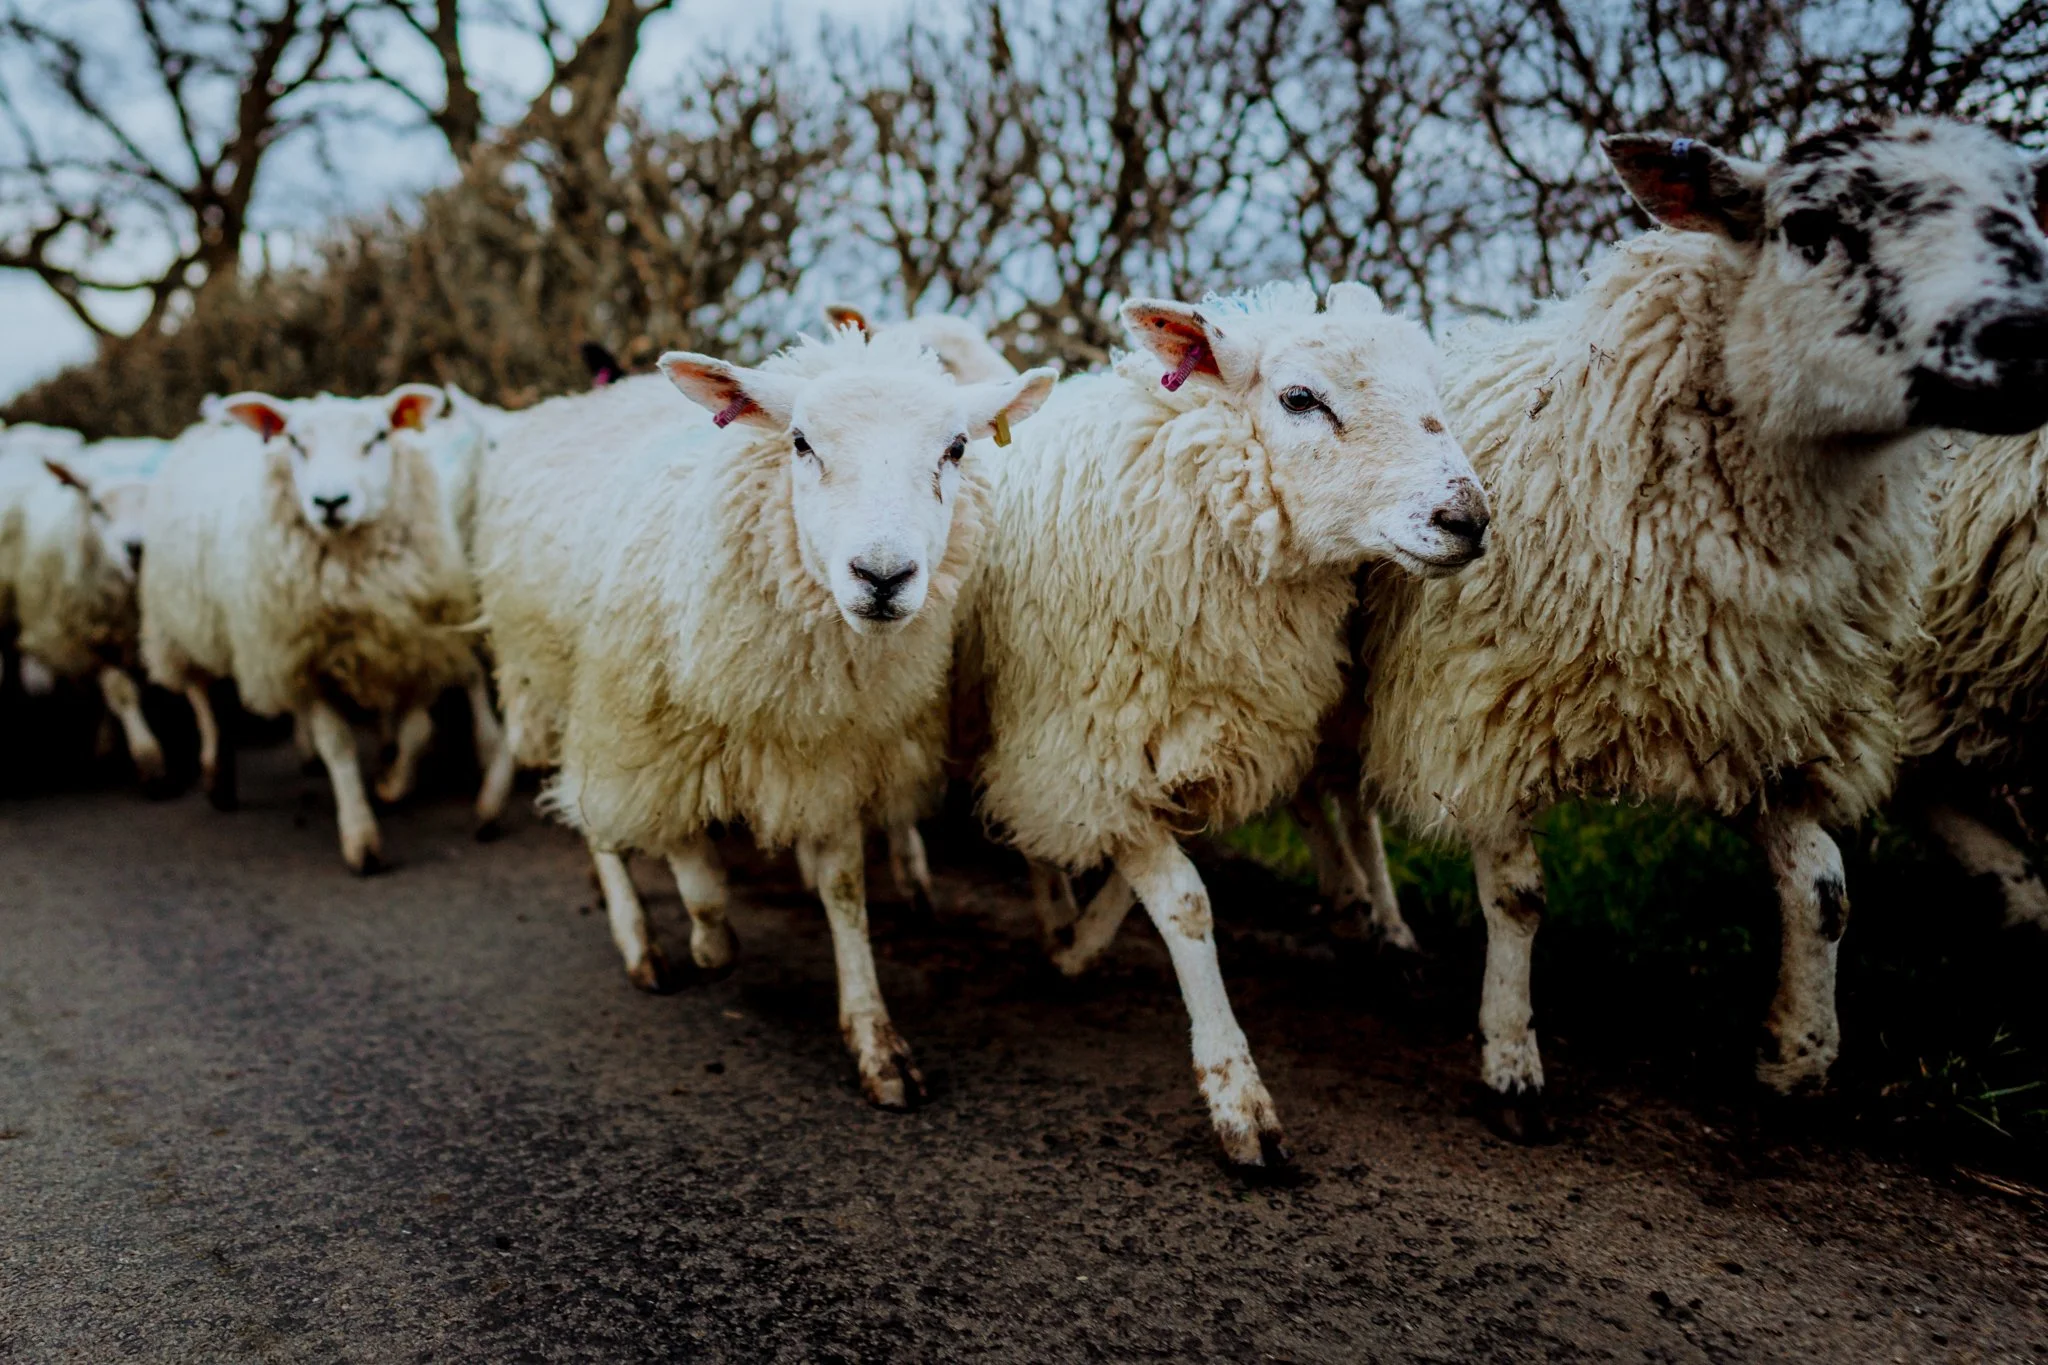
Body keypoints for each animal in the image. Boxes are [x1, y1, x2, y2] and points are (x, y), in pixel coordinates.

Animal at [140, 386, 485, 872]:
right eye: (297, 443)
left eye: (378, 437)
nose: (330, 502)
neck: (352, 573)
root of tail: (212, 425)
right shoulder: (311, 668)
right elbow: (338, 746)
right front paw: (361, 839)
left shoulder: (416, 648)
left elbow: (418, 730)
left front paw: (391, 783)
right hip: (182, 625)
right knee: (202, 696)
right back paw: (218, 775)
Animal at [472, 328, 1054, 1104]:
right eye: (800, 442)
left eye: (957, 447)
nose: (882, 575)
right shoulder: (655, 745)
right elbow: (701, 879)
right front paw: (710, 948)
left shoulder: (833, 754)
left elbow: (844, 892)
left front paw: (875, 1039)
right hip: (564, 687)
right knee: (595, 817)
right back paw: (640, 942)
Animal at [960, 281, 1488, 1168]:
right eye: (1300, 398)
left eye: (1433, 393)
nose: (1469, 518)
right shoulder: (1087, 742)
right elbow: (1185, 902)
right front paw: (1237, 1093)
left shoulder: (1207, 735)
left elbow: (1161, 864)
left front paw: (1086, 940)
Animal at [1338, 118, 2048, 1139]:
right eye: (1811, 226)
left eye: (2023, 214)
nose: (2024, 340)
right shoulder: (1486, 716)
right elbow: (1518, 898)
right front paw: (1511, 1060)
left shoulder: (1761, 720)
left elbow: (1825, 891)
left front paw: (1798, 1057)